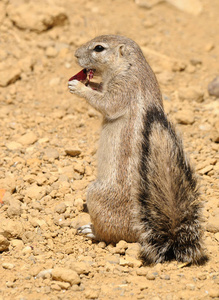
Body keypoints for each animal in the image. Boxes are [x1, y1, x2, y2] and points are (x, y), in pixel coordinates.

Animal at [68, 35, 207, 264]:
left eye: (99, 48)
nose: (76, 55)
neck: (130, 66)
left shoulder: (124, 88)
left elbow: (106, 103)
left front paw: (79, 86)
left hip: (96, 195)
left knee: (111, 235)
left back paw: (91, 230)